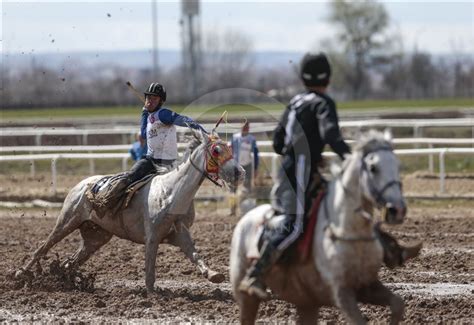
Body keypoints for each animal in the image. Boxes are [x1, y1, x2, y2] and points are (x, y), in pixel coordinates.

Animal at [14, 130, 244, 294]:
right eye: (216, 150)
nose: (239, 172)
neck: (172, 192)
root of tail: (82, 184)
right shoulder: (152, 236)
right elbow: (150, 266)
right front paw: (152, 292)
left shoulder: (179, 233)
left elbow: (195, 254)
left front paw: (214, 274)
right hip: (67, 221)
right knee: (42, 248)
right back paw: (19, 275)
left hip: (96, 237)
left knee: (69, 262)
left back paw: (67, 282)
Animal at [230, 130, 408, 324]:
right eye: (373, 168)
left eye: (398, 165)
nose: (397, 210)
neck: (350, 231)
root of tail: (246, 219)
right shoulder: (342, 293)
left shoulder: (368, 285)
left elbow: (398, 304)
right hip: (246, 297)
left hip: (306, 303)